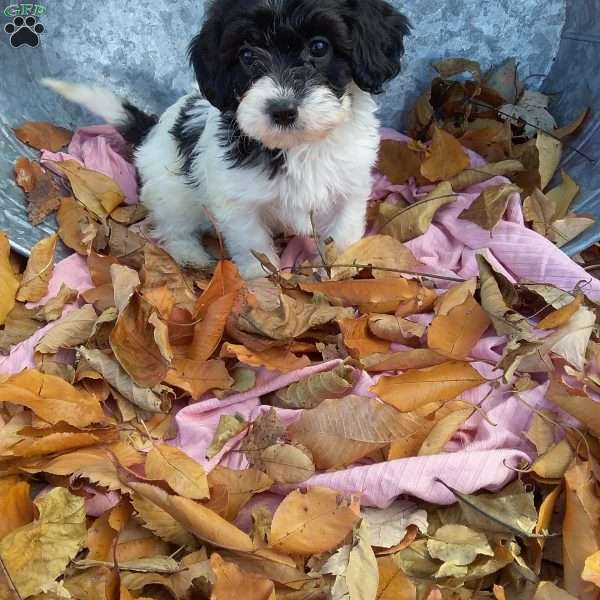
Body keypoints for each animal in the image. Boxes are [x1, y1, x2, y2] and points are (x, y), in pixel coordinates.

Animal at [41, 0, 408, 278]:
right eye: (247, 56)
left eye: (319, 46)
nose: (282, 110)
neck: (297, 146)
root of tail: (152, 131)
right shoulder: (237, 200)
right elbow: (252, 242)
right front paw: (267, 288)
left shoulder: (351, 182)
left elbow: (343, 232)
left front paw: (338, 274)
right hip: (172, 191)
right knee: (173, 224)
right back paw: (189, 254)